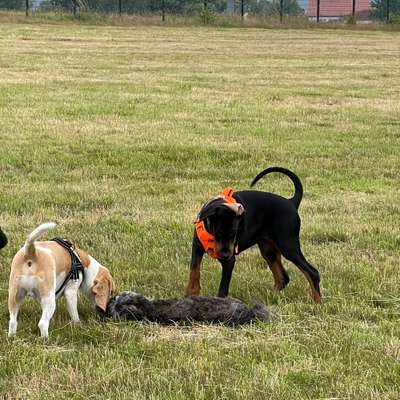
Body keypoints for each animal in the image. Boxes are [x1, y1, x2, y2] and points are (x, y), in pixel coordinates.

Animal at [185, 166, 322, 304]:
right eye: (218, 232)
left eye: (235, 234)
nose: (224, 255)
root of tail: (291, 202)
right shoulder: (197, 247)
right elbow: (194, 271)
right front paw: (189, 296)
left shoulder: (229, 261)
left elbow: (222, 289)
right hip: (268, 249)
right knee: (283, 277)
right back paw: (269, 297)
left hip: (288, 245)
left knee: (312, 272)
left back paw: (317, 302)